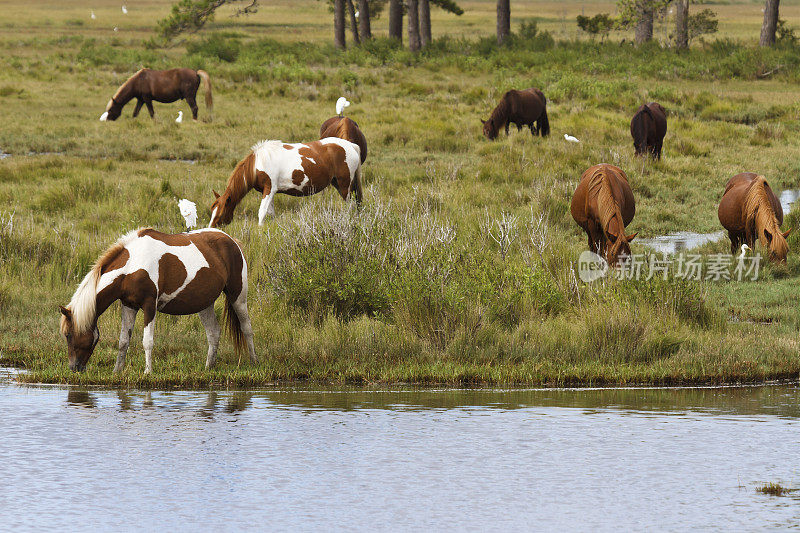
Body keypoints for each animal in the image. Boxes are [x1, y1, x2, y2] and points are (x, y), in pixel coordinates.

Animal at [57, 227, 255, 372]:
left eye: (68, 334)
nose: (74, 367)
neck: (133, 264)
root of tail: (232, 240)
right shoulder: (128, 305)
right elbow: (123, 341)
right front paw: (117, 371)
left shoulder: (149, 305)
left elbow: (147, 341)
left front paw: (148, 371)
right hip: (204, 304)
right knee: (213, 333)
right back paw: (208, 367)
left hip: (238, 296)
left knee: (246, 328)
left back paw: (254, 362)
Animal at [211, 137, 364, 227]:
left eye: (220, 213)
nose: (211, 227)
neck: (258, 164)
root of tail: (351, 145)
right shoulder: (268, 192)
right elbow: (270, 213)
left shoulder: (269, 189)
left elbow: (262, 212)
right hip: (337, 183)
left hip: (344, 185)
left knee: (350, 206)